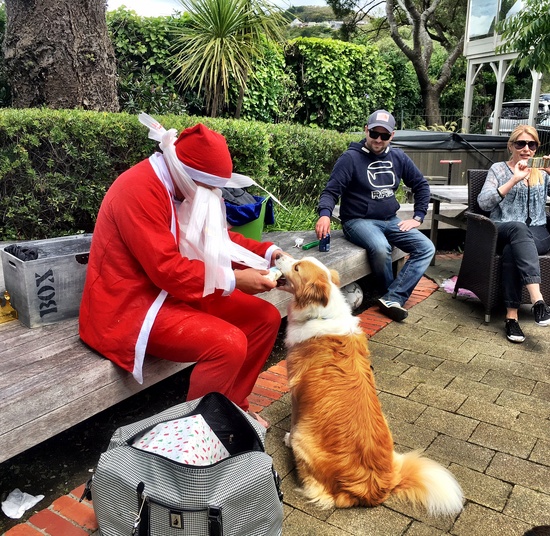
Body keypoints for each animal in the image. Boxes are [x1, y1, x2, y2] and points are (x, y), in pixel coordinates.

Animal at [275, 255, 463, 516]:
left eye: (297, 267)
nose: (277, 254)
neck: (322, 313)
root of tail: (376, 489)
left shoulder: (296, 393)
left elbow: (293, 422)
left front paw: (286, 437)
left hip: (305, 440)